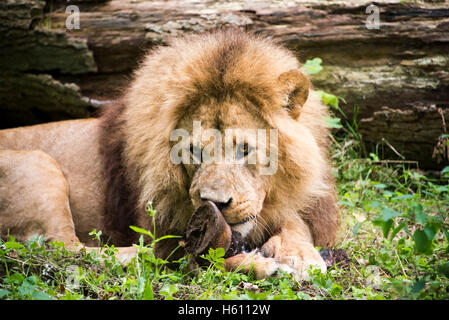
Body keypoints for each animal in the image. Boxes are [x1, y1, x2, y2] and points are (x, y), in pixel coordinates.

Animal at [0, 30, 336, 280]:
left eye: (244, 149)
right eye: (194, 151)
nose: (214, 203)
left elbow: (295, 224)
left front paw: (302, 255)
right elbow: (204, 257)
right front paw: (266, 264)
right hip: (38, 164)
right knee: (63, 248)